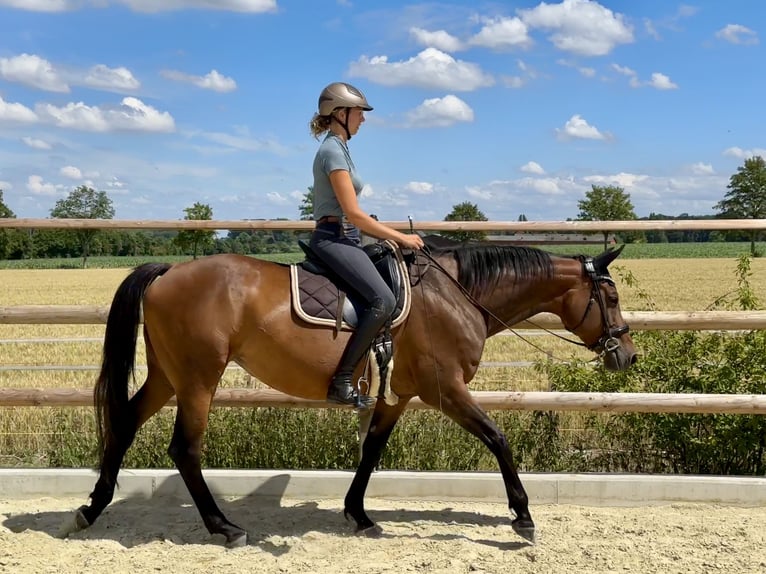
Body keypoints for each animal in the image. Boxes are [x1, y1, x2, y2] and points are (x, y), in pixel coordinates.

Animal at [72, 237, 640, 548]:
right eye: (610, 296)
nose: (628, 355)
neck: (456, 295)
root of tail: (169, 271)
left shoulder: (398, 395)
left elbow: (371, 451)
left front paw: (359, 514)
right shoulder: (445, 390)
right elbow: (498, 438)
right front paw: (522, 516)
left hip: (169, 376)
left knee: (124, 425)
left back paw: (91, 509)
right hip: (197, 381)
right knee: (185, 449)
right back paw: (223, 526)